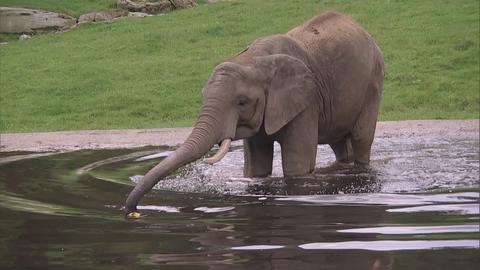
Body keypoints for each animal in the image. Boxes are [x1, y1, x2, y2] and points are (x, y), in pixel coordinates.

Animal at [125, 12, 384, 215]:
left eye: (242, 102)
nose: (132, 211)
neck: (253, 61)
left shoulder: (305, 101)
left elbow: (296, 166)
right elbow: (256, 166)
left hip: (373, 82)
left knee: (361, 137)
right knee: (339, 143)